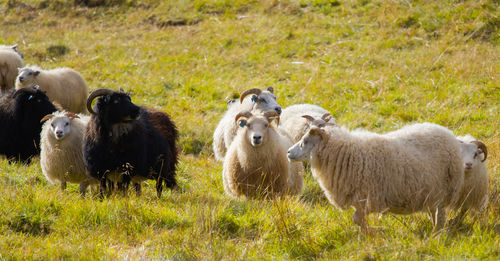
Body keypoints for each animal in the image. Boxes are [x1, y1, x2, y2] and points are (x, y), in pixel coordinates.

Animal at [288, 120, 466, 232]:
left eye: (305, 141)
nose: (288, 152)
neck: (345, 154)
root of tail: (448, 134)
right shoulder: (359, 199)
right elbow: (357, 219)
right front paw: (370, 232)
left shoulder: (368, 198)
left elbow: (356, 219)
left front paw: (373, 231)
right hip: (430, 192)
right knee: (434, 212)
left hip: (443, 189)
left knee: (440, 215)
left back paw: (437, 234)